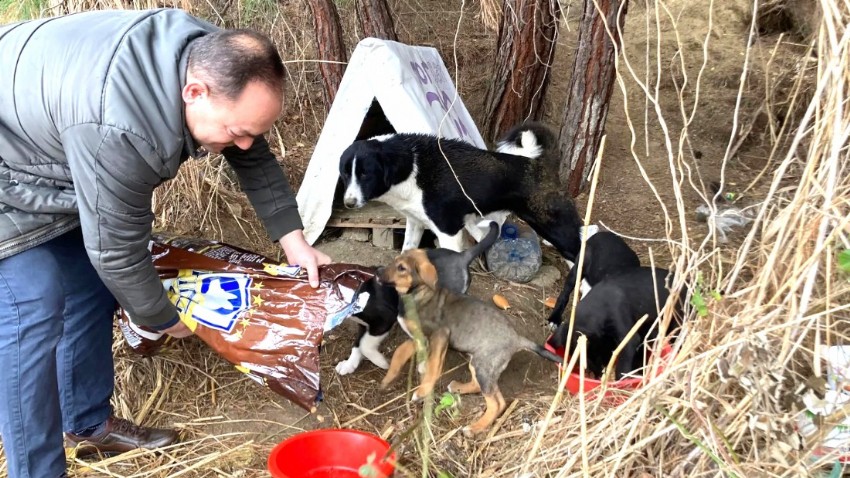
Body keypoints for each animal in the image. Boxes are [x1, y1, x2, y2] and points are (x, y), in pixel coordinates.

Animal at [334, 222, 500, 376]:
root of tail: (462, 256)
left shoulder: (383, 320)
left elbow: (365, 345)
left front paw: (381, 362)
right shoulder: (364, 325)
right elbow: (358, 344)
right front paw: (349, 364)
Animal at [338, 120, 584, 262]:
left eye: (365, 174)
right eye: (345, 174)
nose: (348, 203)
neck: (411, 168)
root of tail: (541, 164)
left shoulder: (449, 231)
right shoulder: (415, 222)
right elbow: (407, 251)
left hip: (555, 228)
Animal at [376, 250, 560, 436]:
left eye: (402, 268)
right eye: (394, 261)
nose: (377, 271)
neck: (417, 294)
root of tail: (516, 338)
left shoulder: (440, 334)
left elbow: (434, 366)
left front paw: (422, 391)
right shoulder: (417, 337)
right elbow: (399, 353)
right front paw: (387, 379)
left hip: (483, 366)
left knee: (496, 403)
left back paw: (475, 427)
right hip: (480, 364)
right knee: (487, 391)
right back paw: (459, 388)